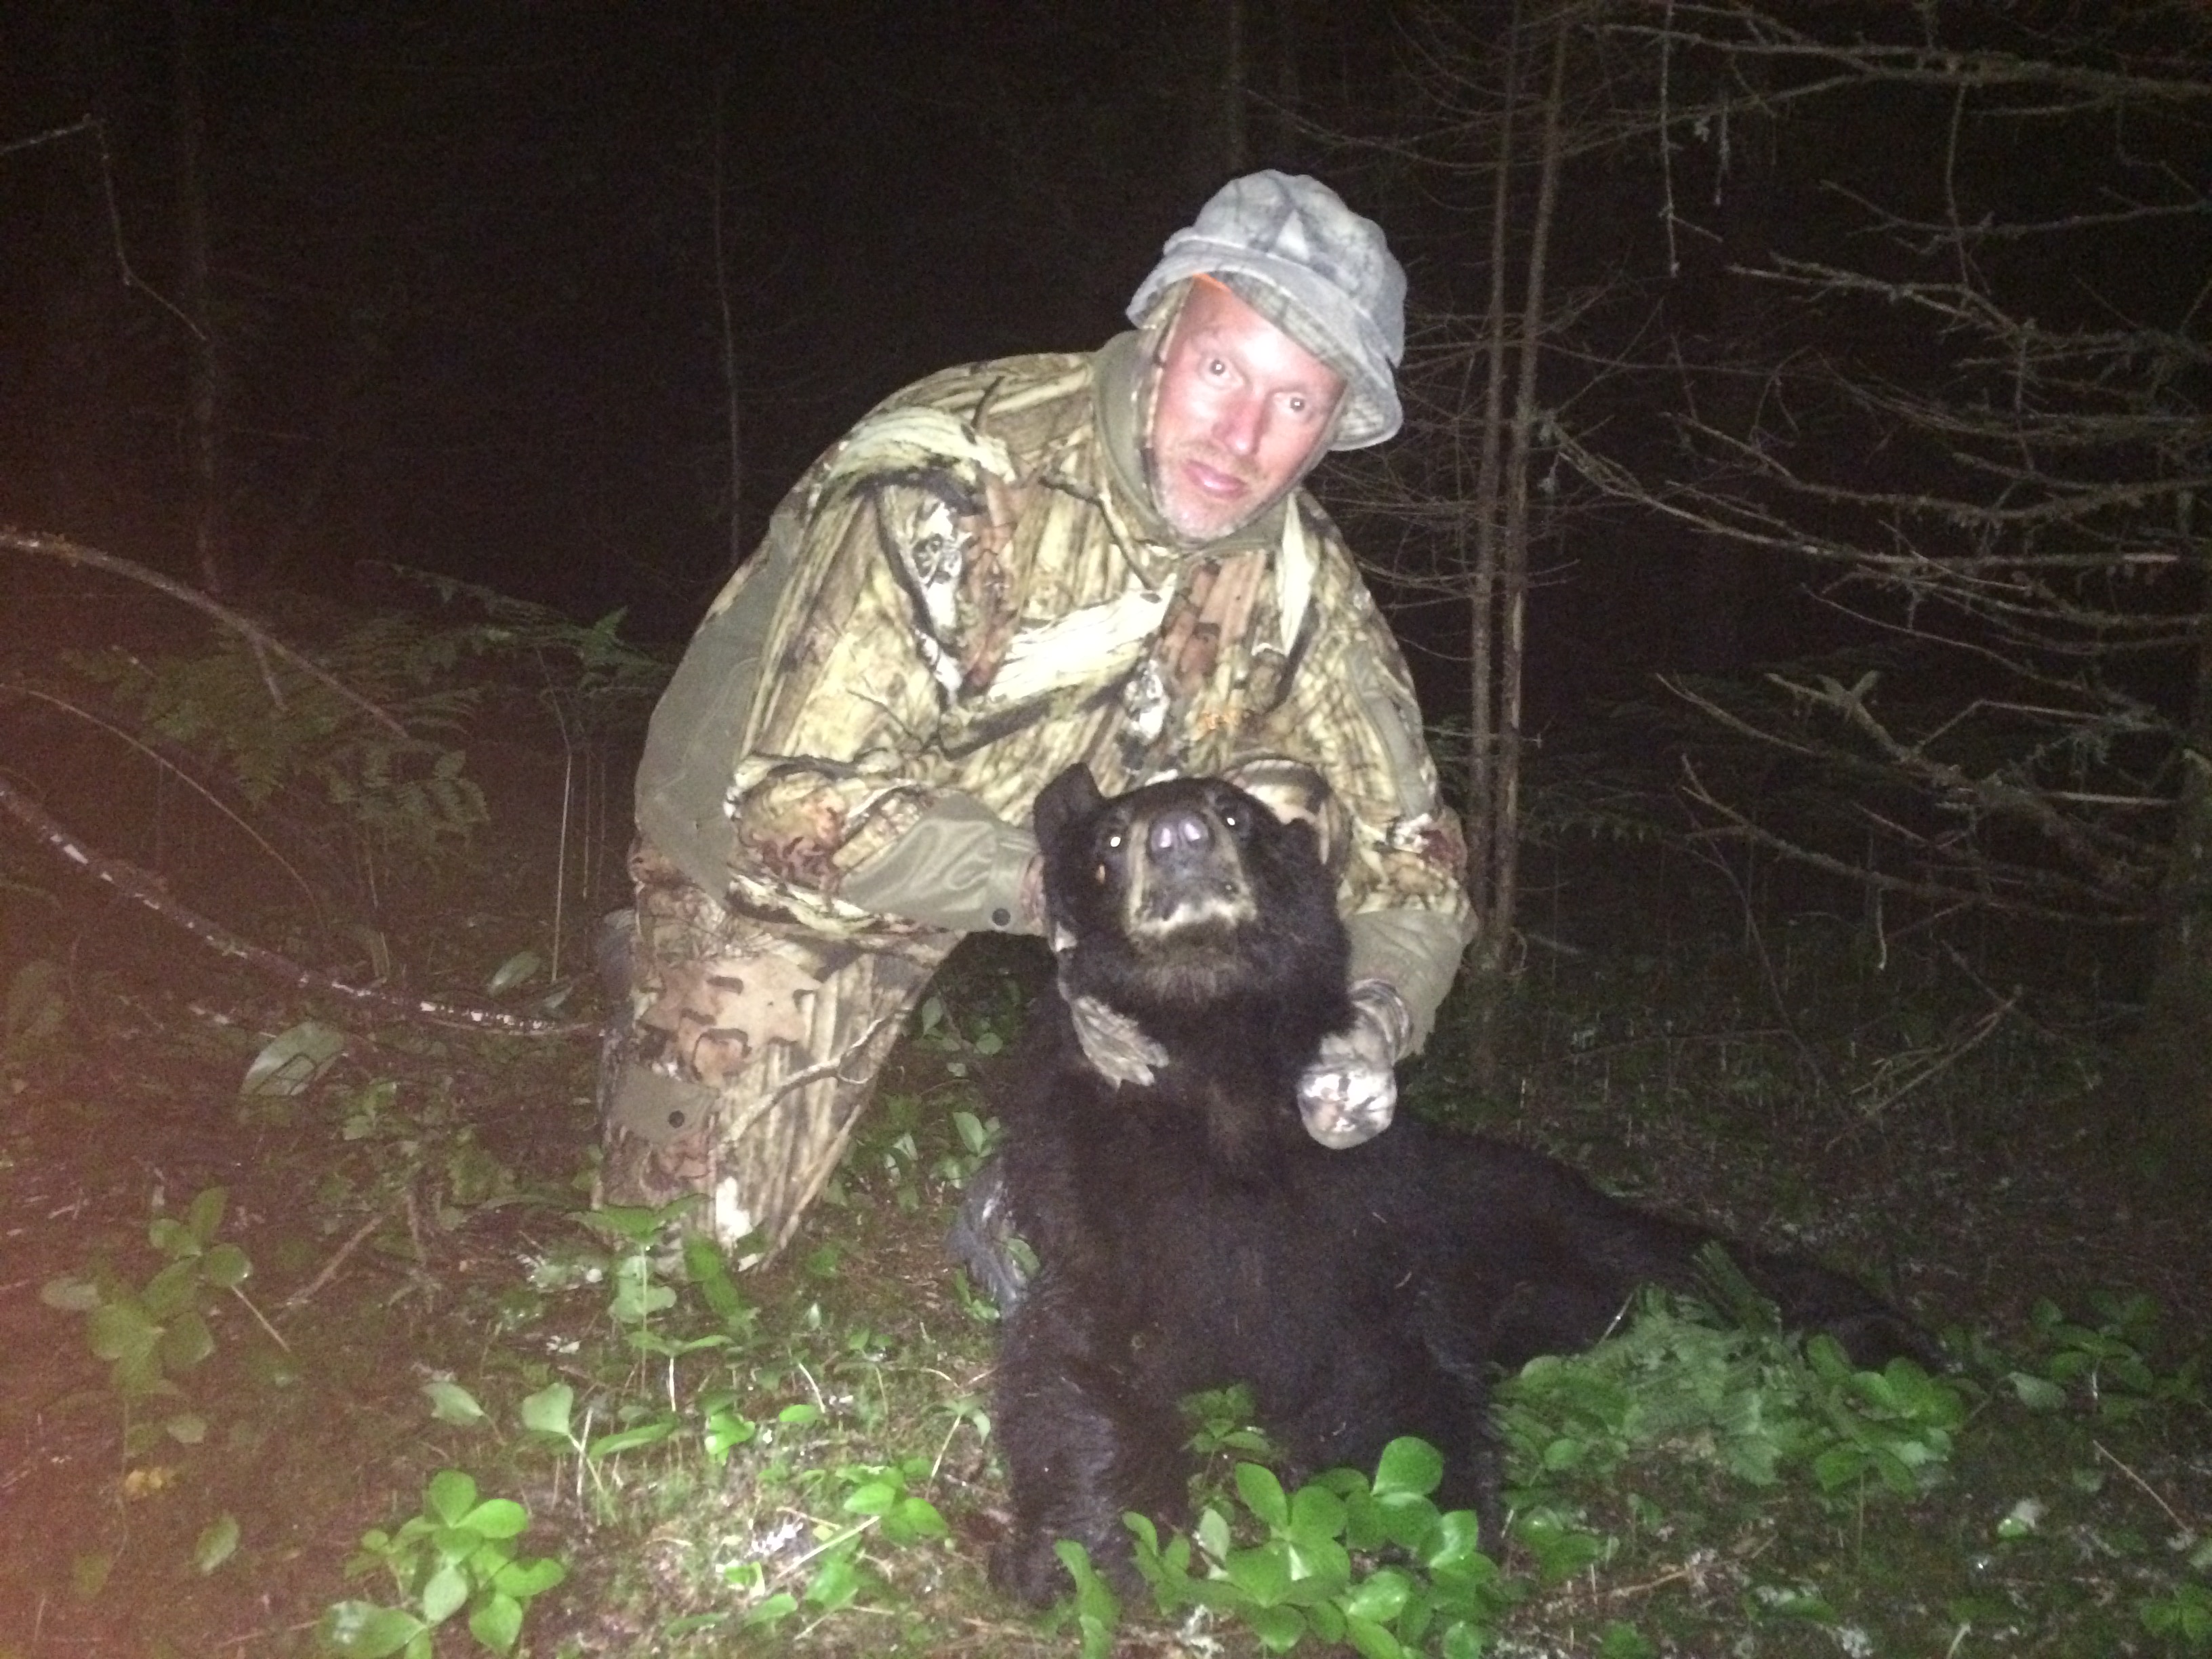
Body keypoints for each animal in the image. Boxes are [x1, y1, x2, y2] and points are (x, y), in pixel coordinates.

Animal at [982, 763, 1927, 1605]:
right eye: (1109, 840)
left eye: (1235, 812)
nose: (1178, 836)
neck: (1221, 1064)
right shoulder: (1104, 1194)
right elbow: (1081, 1356)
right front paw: (1089, 1550)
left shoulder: (1356, 1224)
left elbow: (1396, 1371)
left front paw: (1432, 1529)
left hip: (1556, 1225)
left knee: (1686, 1269)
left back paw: (1875, 1333)